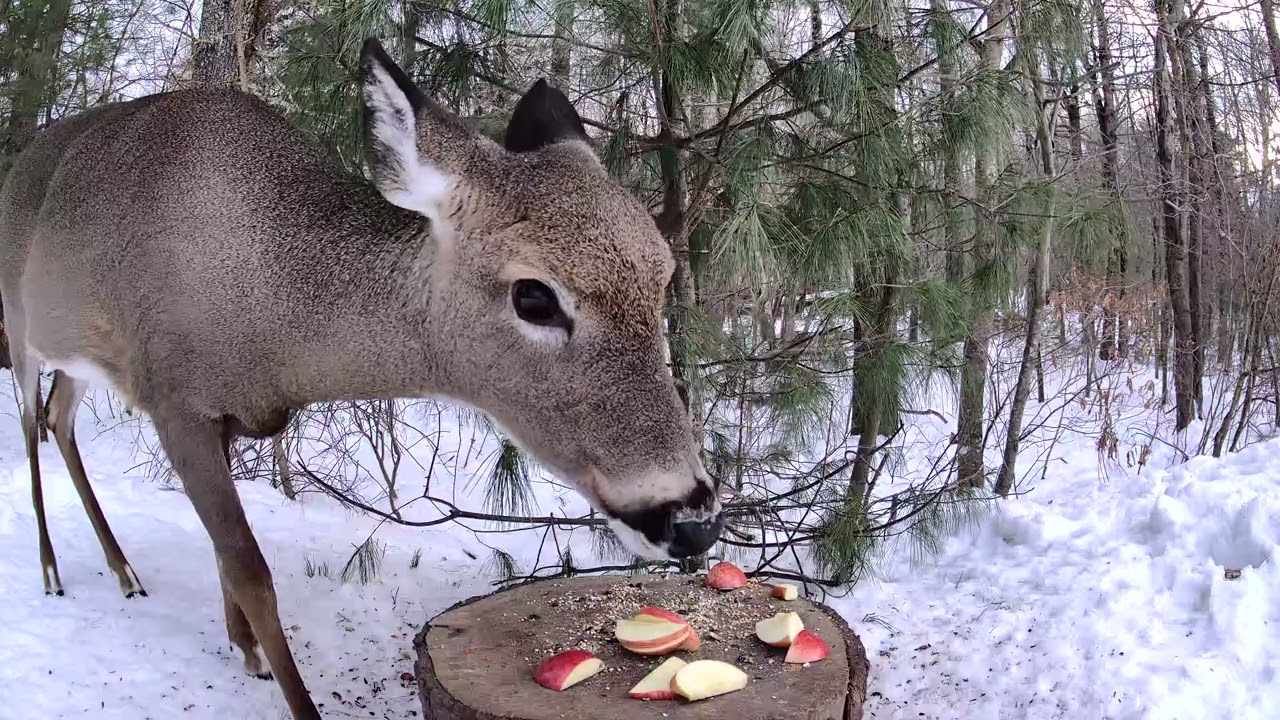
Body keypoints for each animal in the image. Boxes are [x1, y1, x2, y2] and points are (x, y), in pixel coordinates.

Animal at [0, 38, 724, 720]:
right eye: (534, 297)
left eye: (663, 277)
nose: (691, 519)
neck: (276, 319)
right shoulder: (176, 399)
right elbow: (251, 570)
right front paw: (281, 680)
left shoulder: (229, 415)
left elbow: (225, 554)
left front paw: (244, 648)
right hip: (16, 316)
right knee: (31, 419)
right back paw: (52, 570)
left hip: (78, 357)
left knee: (60, 416)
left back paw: (123, 571)